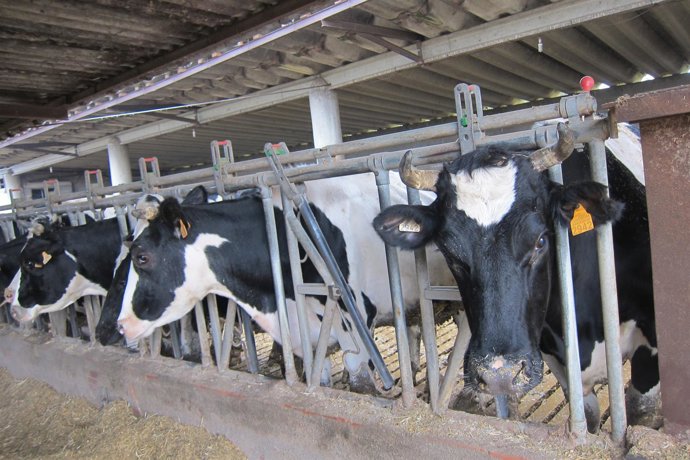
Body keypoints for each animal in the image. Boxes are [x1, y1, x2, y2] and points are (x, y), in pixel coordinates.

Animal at [115, 173, 455, 392]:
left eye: (141, 257)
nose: (121, 325)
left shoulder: (356, 326)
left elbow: (361, 384)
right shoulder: (306, 338)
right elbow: (320, 380)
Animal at [373, 122, 659, 431]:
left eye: (541, 241)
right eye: (450, 254)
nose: (499, 375)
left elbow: (640, 409)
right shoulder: (551, 353)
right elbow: (588, 414)